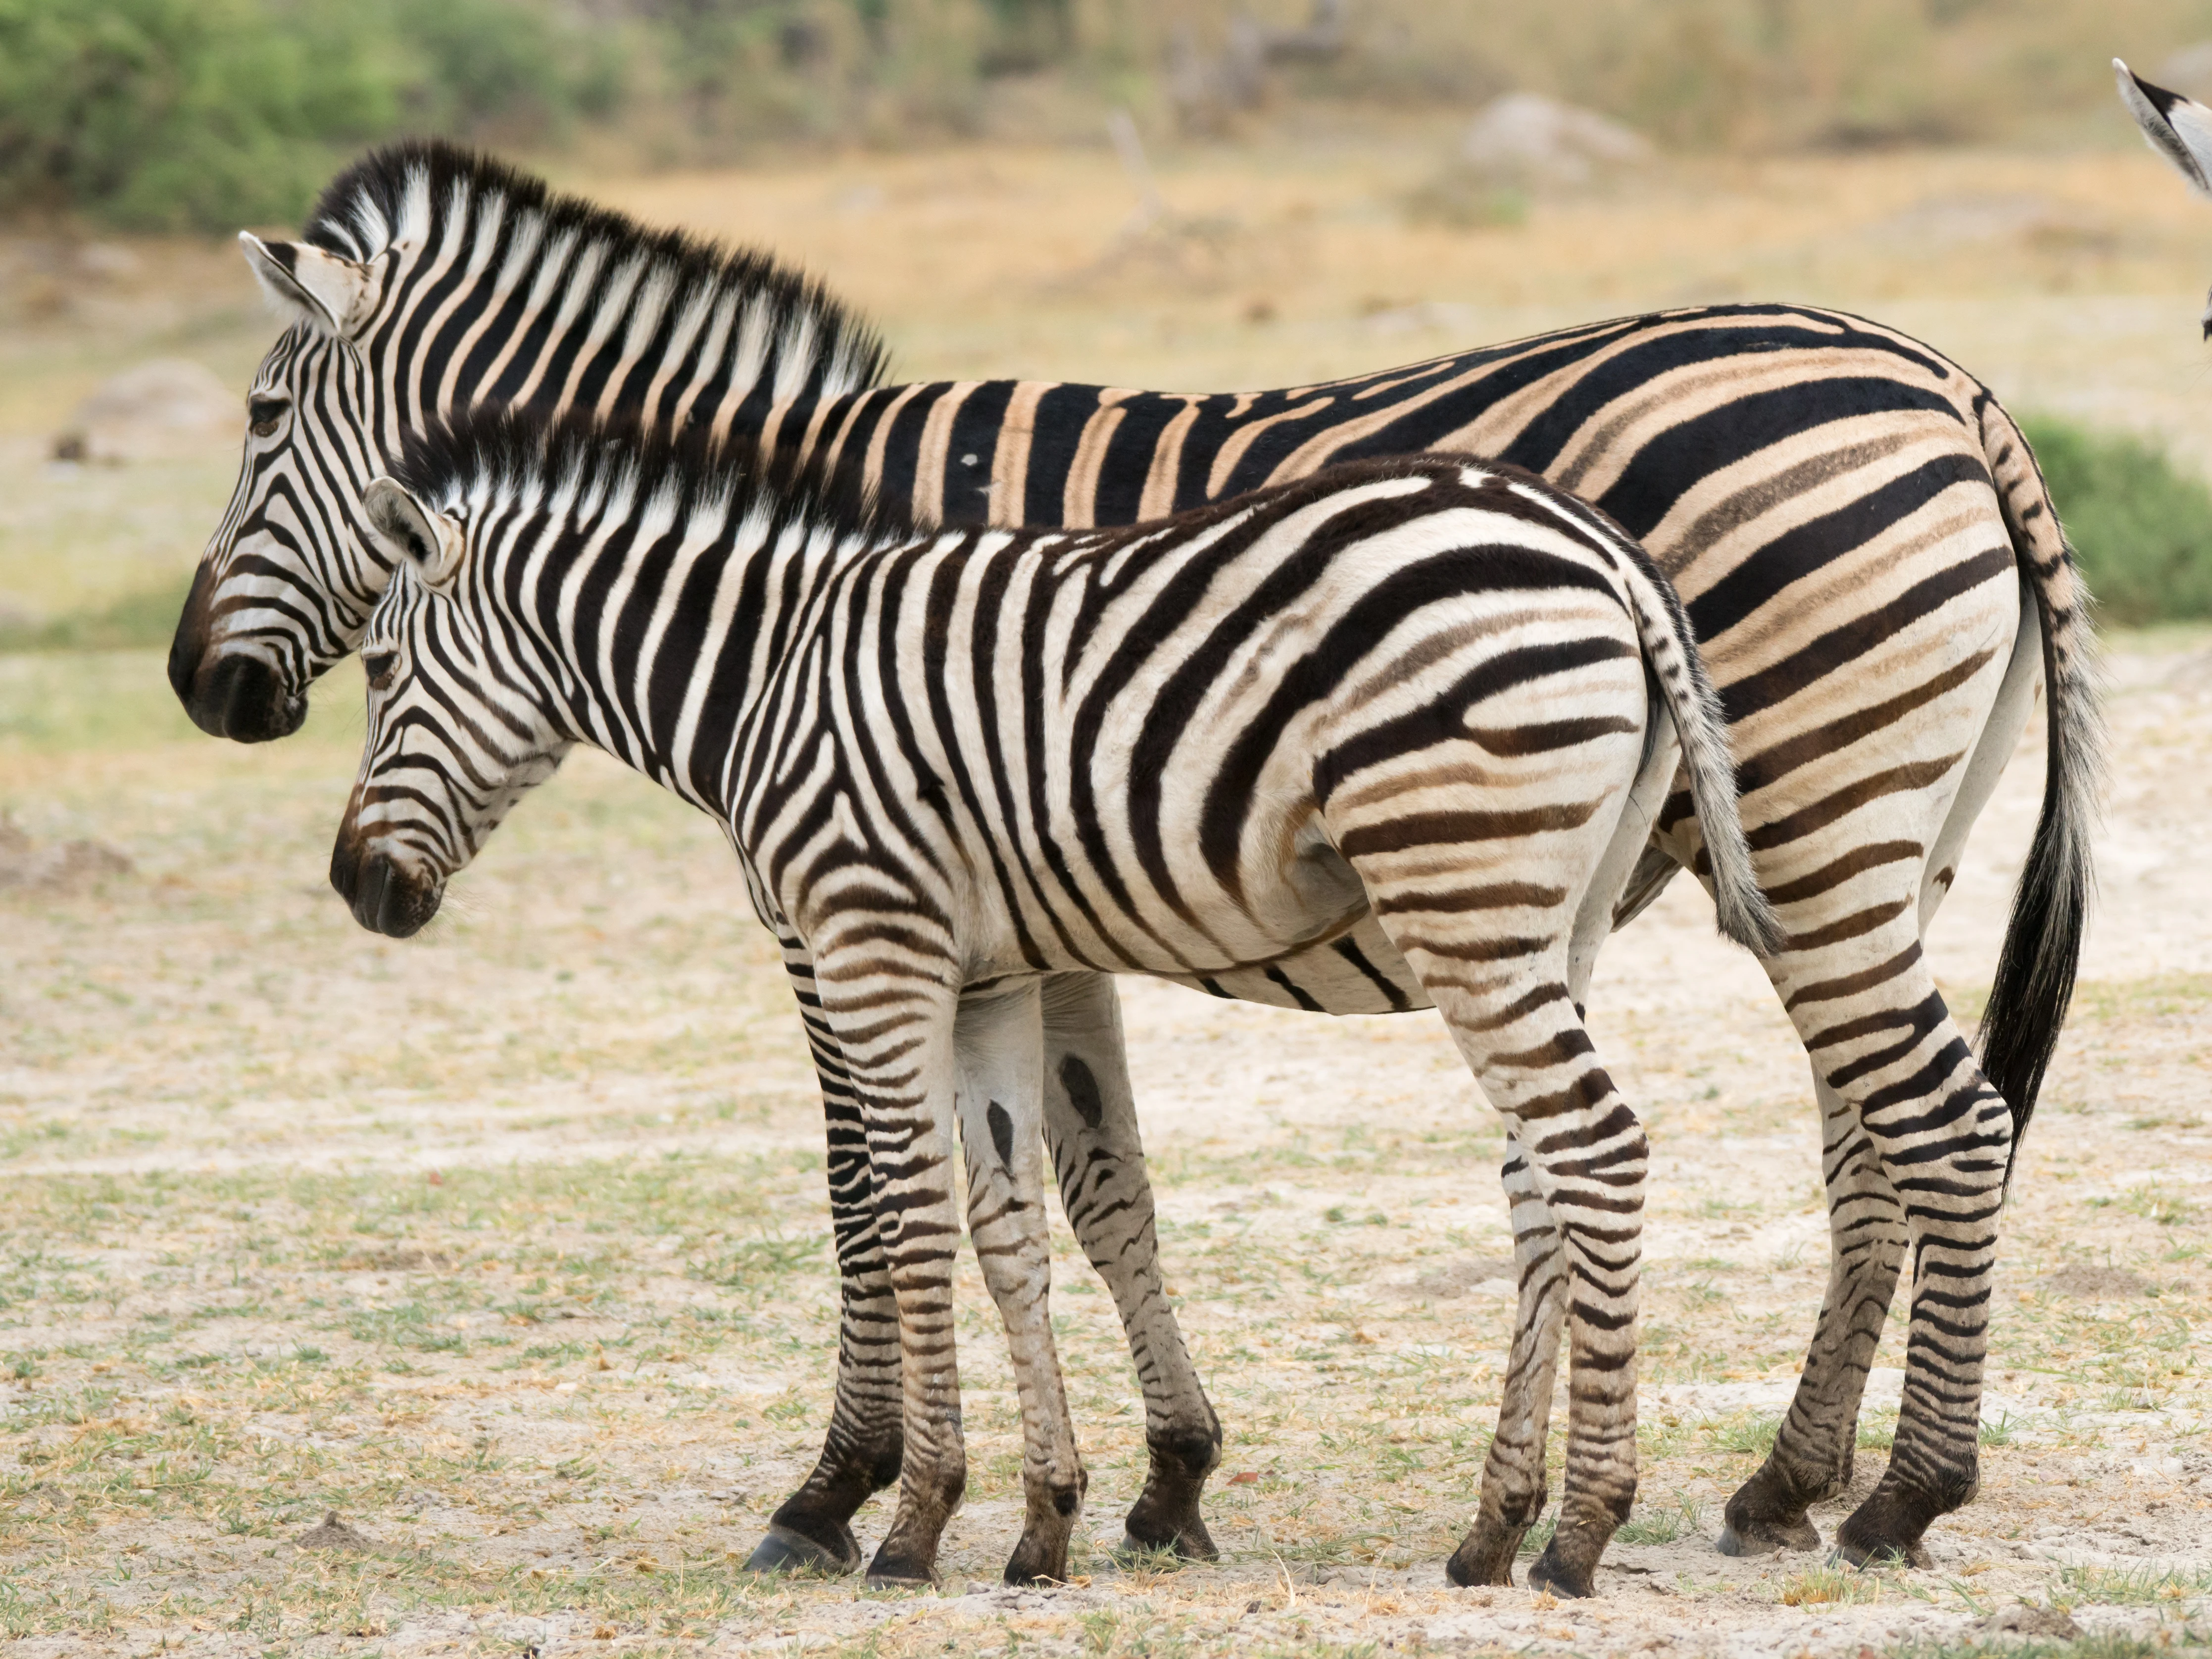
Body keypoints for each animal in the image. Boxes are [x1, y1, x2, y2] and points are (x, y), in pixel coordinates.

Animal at [328, 408, 1780, 1593]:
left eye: (382, 670)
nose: (354, 887)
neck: (767, 675)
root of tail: (1606, 552)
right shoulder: (991, 975)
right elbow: (1009, 1225)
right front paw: (1044, 1521)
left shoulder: (872, 939)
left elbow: (908, 1220)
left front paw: (911, 1519)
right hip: (1546, 914)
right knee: (1542, 1175)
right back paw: (1492, 1527)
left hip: (1459, 890)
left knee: (1596, 1148)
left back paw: (1582, 1530)